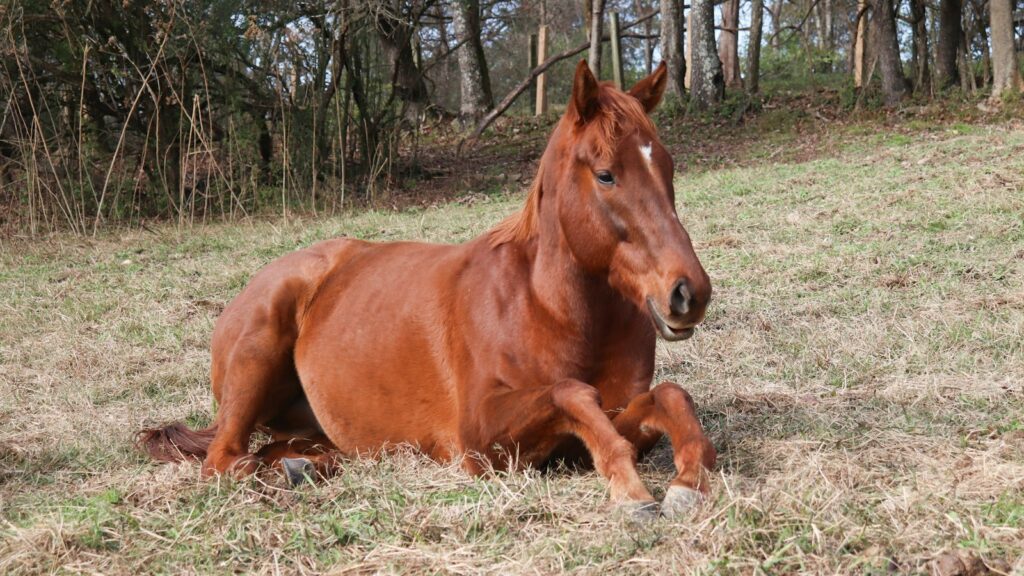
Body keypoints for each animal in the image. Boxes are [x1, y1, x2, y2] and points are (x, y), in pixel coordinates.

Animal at [140, 61, 716, 518]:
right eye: (605, 174)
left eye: (667, 165)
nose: (689, 293)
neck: (546, 307)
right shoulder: (482, 442)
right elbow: (574, 393)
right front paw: (632, 491)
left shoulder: (609, 417)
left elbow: (668, 396)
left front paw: (689, 481)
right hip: (256, 357)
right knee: (224, 462)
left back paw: (303, 467)